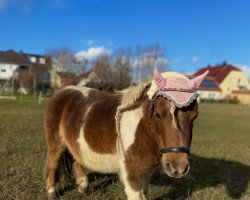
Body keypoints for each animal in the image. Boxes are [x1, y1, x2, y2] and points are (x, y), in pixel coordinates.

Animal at [44, 70, 205, 198]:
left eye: (194, 116)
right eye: (158, 114)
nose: (178, 167)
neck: (143, 130)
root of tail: (61, 91)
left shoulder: (146, 171)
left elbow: (144, 193)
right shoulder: (130, 172)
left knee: (76, 159)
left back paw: (83, 187)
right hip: (55, 143)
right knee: (53, 162)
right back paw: (52, 192)